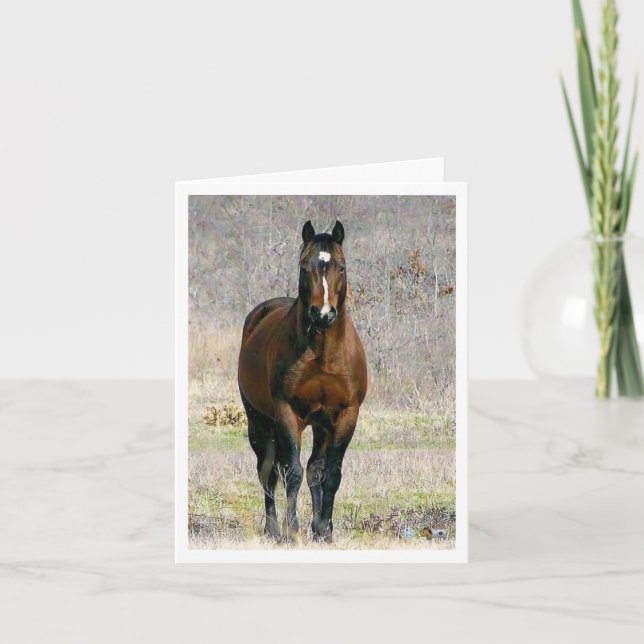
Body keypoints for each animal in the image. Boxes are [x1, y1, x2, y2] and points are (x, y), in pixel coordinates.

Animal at [237, 219, 368, 543]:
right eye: (304, 267)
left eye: (341, 268)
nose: (322, 315)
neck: (323, 355)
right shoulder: (287, 412)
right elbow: (292, 472)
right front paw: (293, 530)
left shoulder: (345, 415)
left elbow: (329, 474)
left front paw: (324, 530)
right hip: (258, 421)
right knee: (269, 472)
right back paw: (272, 529)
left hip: (320, 425)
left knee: (313, 469)